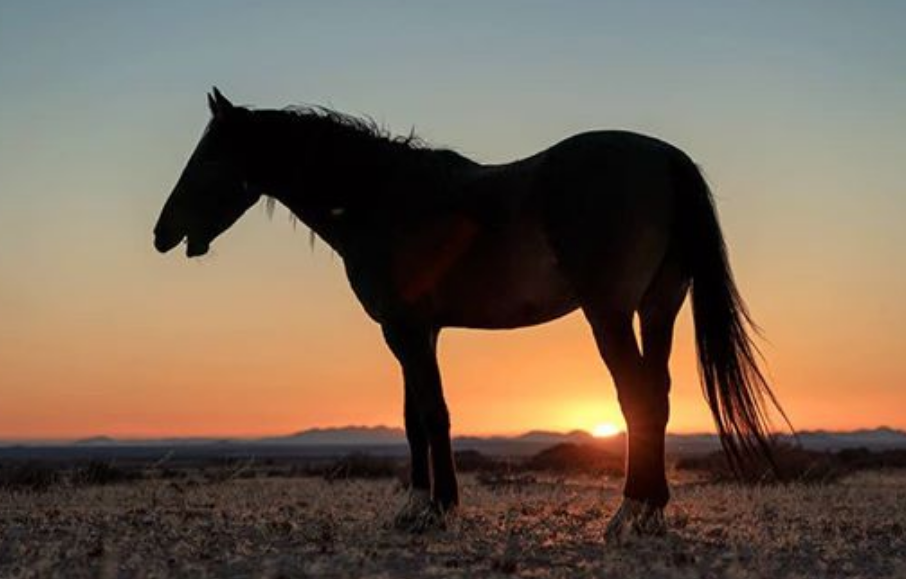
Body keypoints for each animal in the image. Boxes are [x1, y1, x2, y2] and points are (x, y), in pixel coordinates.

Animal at [154, 88, 784, 540]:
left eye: (207, 157)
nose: (163, 234)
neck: (382, 197)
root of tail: (666, 158)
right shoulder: (420, 331)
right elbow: (419, 415)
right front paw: (424, 505)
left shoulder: (404, 329)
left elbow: (430, 414)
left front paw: (434, 509)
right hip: (658, 309)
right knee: (660, 395)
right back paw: (651, 512)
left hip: (609, 314)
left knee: (638, 399)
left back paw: (628, 513)